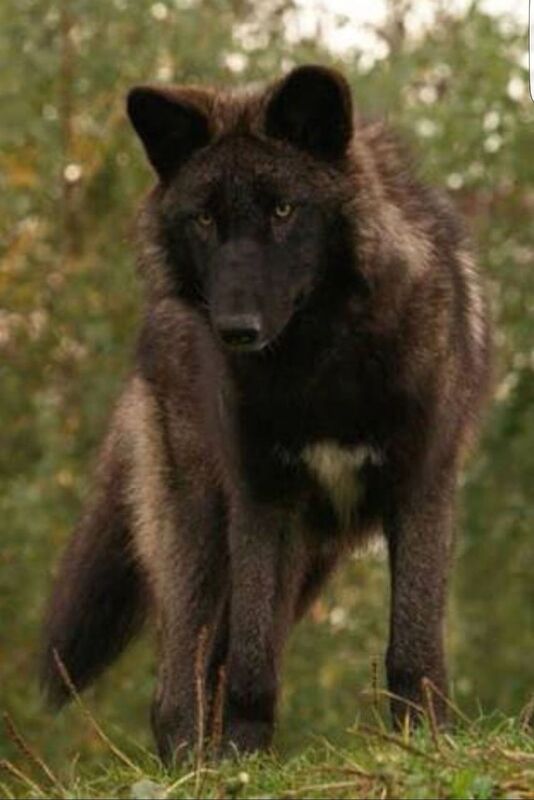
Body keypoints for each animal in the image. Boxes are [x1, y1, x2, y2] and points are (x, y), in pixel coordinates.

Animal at [41, 65, 491, 762]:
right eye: (203, 219)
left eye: (283, 210)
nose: (235, 330)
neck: (321, 365)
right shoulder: (261, 498)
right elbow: (253, 664)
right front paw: (244, 759)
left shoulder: (421, 489)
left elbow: (413, 646)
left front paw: (425, 742)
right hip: (201, 534)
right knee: (180, 682)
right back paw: (193, 767)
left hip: (306, 565)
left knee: (209, 663)